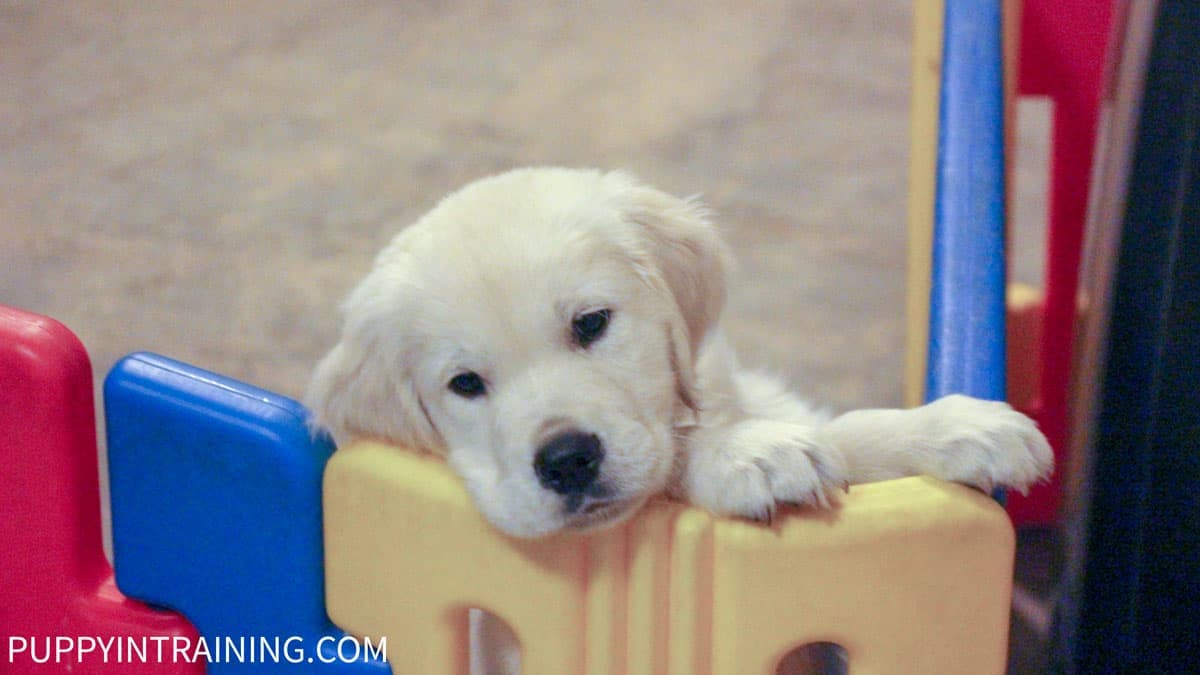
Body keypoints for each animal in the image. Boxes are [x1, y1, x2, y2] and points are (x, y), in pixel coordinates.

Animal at [307, 166, 1051, 535]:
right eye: (465, 383)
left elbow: (849, 432)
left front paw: (963, 427)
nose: (566, 460)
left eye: (591, 323)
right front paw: (747, 454)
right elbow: (677, 463)